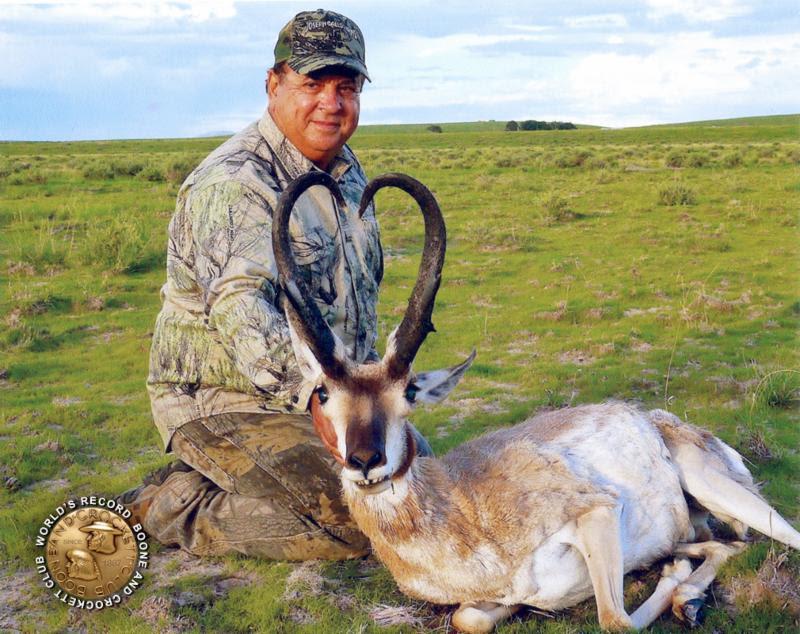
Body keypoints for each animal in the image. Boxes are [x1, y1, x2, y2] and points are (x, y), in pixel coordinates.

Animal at [272, 172, 800, 633]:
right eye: (323, 392)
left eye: (408, 393)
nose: (366, 461)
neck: (464, 507)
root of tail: (657, 419)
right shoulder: (496, 600)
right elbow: (469, 619)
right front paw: (675, 578)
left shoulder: (596, 513)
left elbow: (615, 620)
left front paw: (670, 585)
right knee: (718, 544)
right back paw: (683, 584)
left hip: (712, 485)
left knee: (763, 540)